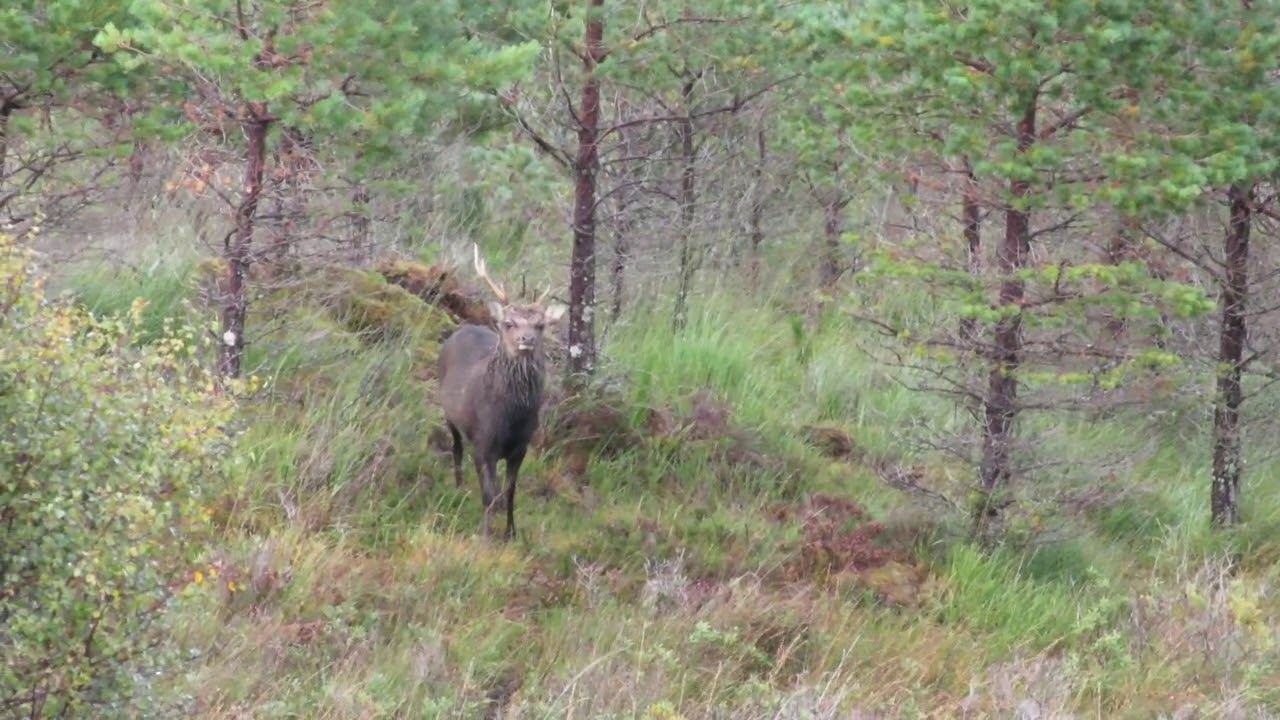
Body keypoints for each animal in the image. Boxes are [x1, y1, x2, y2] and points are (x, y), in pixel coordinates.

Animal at [437, 245, 567, 541]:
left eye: (540, 325)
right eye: (509, 323)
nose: (526, 339)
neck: (510, 417)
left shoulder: (521, 447)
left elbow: (509, 492)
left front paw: (511, 532)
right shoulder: (483, 443)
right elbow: (487, 494)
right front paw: (486, 536)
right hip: (450, 414)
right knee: (456, 448)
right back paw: (458, 487)